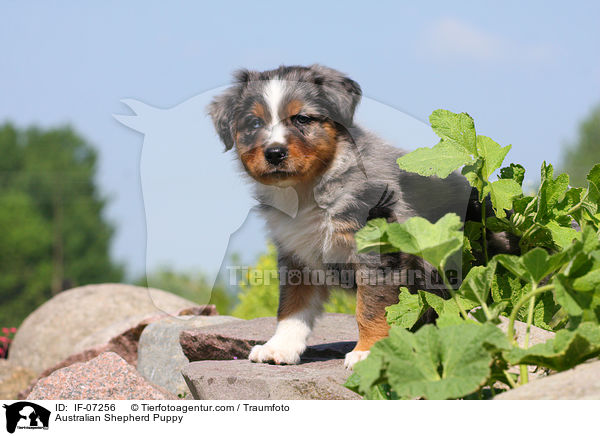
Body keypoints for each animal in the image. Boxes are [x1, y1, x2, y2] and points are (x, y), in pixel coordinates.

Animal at [209, 64, 512, 370]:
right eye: (254, 123)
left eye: (302, 119)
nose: (274, 153)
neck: (309, 190)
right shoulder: (297, 254)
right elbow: (292, 305)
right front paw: (279, 347)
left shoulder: (377, 252)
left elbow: (371, 307)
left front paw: (367, 352)